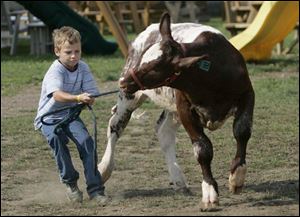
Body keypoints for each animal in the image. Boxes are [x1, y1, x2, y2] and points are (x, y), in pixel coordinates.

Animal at [98, 11, 253, 210]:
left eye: (154, 68)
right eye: (143, 60)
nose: (123, 81)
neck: (211, 75)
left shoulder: (247, 94)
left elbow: (242, 132)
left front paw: (237, 176)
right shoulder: (185, 110)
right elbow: (203, 149)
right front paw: (209, 191)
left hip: (170, 108)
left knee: (164, 131)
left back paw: (178, 180)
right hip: (130, 97)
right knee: (115, 126)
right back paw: (104, 168)